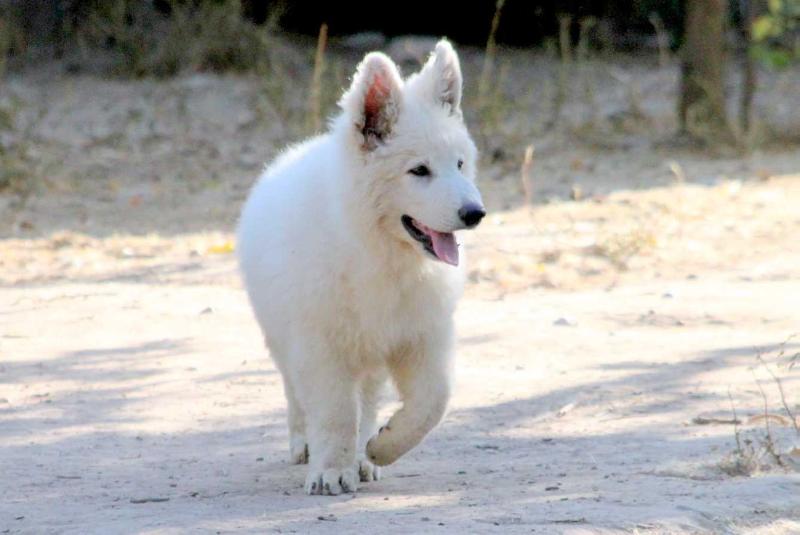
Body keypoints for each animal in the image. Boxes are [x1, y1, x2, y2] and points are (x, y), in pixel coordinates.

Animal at [237, 40, 485, 495]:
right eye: (419, 170)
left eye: (459, 164)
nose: (475, 213)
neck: (381, 252)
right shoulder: (321, 346)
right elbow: (334, 413)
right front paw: (332, 471)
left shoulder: (422, 334)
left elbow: (433, 402)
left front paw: (381, 448)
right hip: (282, 336)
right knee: (296, 394)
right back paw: (305, 445)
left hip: (370, 351)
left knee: (367, 400)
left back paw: (366, 458)